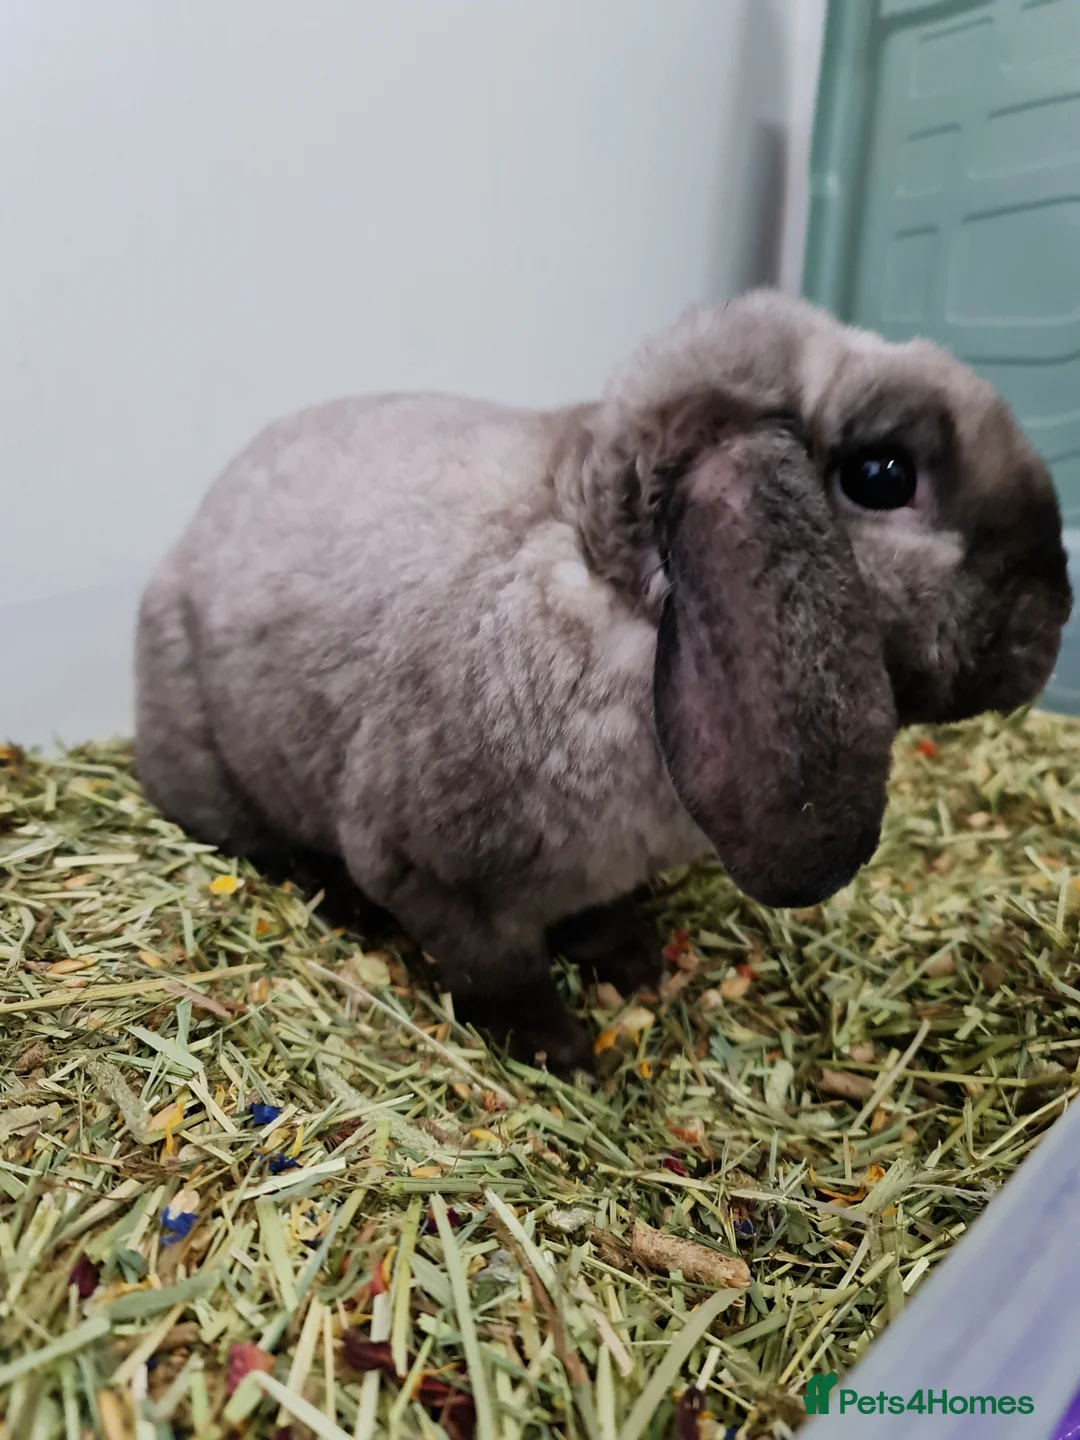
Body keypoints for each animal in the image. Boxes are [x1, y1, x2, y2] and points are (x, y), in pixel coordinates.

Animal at [135, 290, 1071, 1074]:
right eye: (882, 476)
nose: (1054, 617)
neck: (623, 597)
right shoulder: (440, 884)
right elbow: (501, 974)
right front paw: (564, 1053)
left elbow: (600, 915)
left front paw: (635, 964)